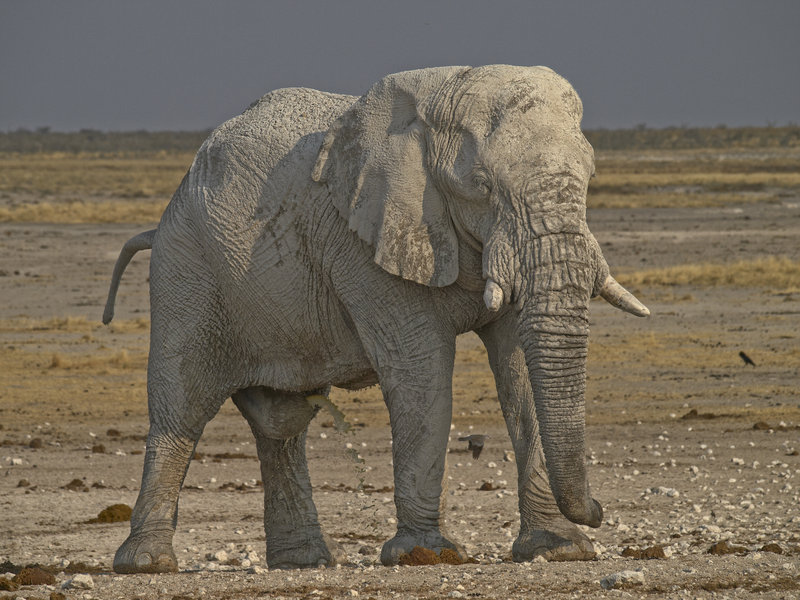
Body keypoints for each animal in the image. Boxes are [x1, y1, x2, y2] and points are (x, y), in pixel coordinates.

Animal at [101, 64, 648, 572]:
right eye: (481, 187)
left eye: (590, 179)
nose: (599, 509)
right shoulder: (363, 243)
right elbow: (421, 371)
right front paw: (425, 555)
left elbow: (517, 367)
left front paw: (560, 548)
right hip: (186, 272)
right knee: (182, 406)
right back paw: (147, 563)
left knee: (280, 421)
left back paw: (304, 562)